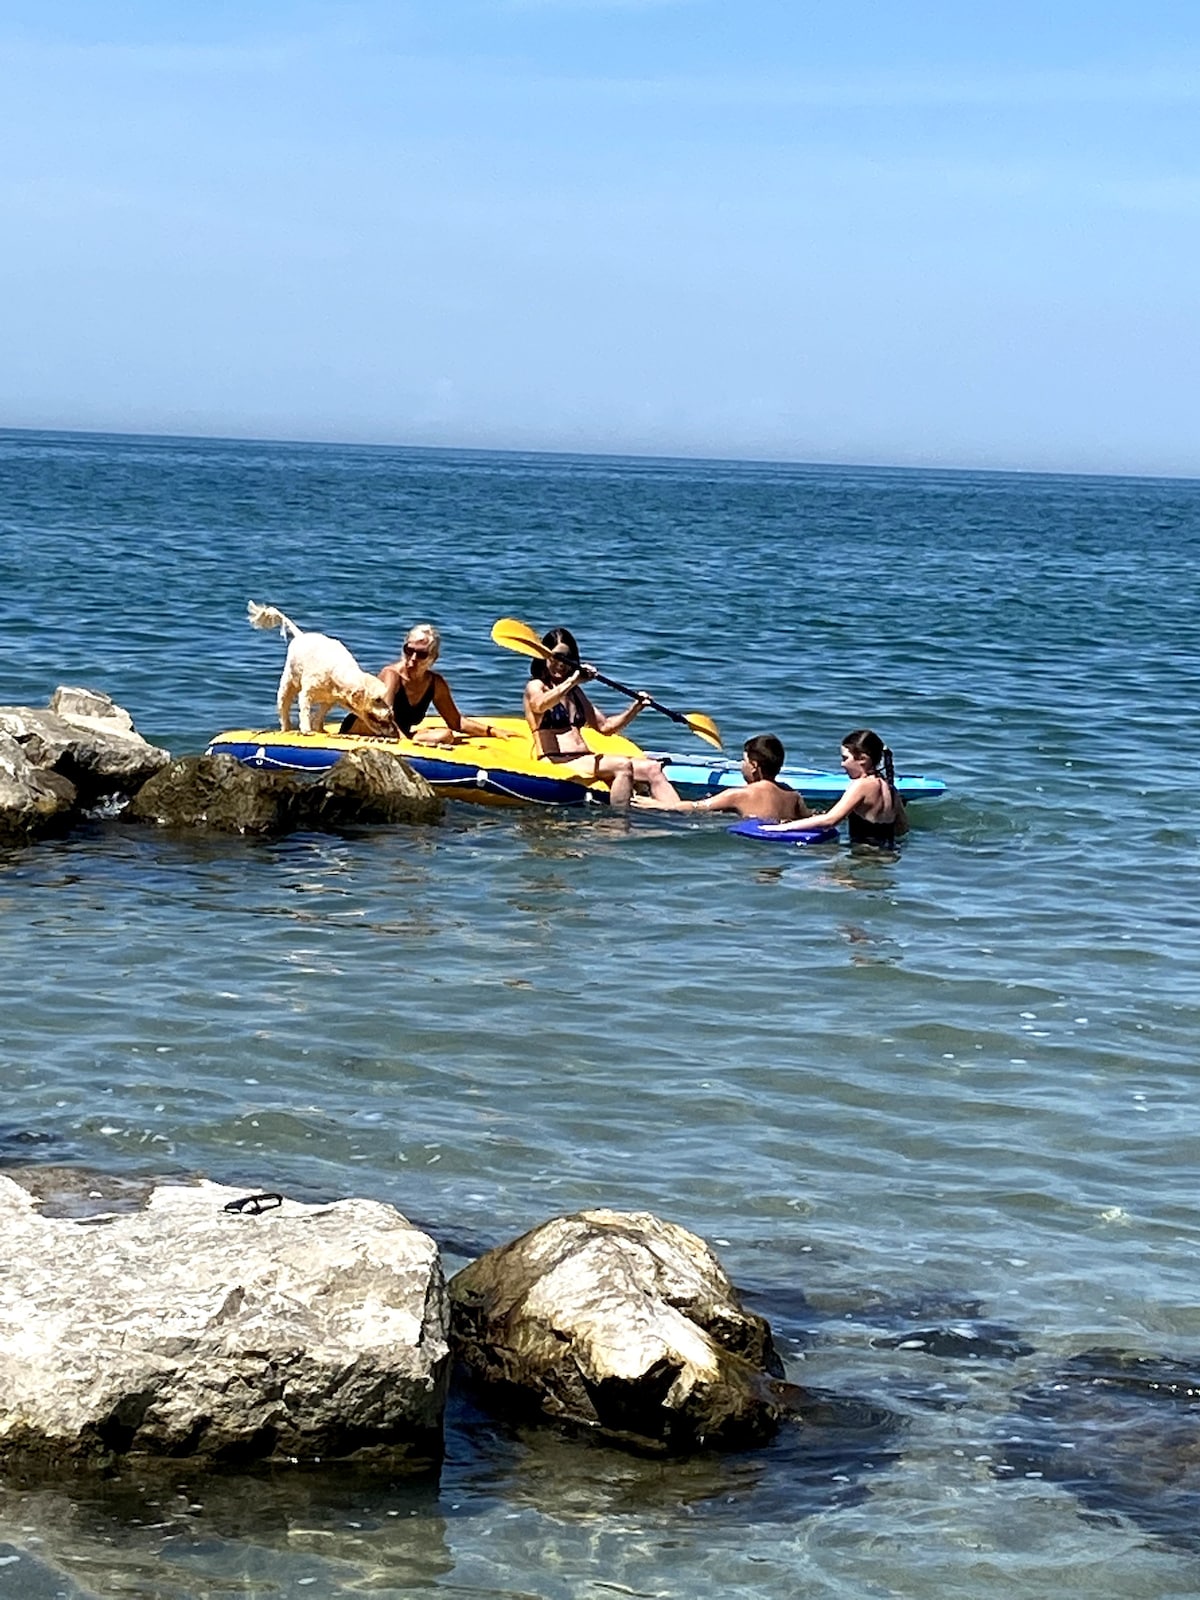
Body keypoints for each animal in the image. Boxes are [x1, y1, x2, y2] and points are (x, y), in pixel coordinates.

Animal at [249, 601, 400, 732]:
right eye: (377, 699)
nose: (390, 715)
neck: (337, 674)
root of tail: (301, 636)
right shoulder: (306, 693)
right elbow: (305, 710)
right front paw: (306, 729)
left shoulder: (331, 700)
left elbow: (321, 713)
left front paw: (319, 728)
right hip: (287, 686)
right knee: (284, 709)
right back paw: (286, 728)